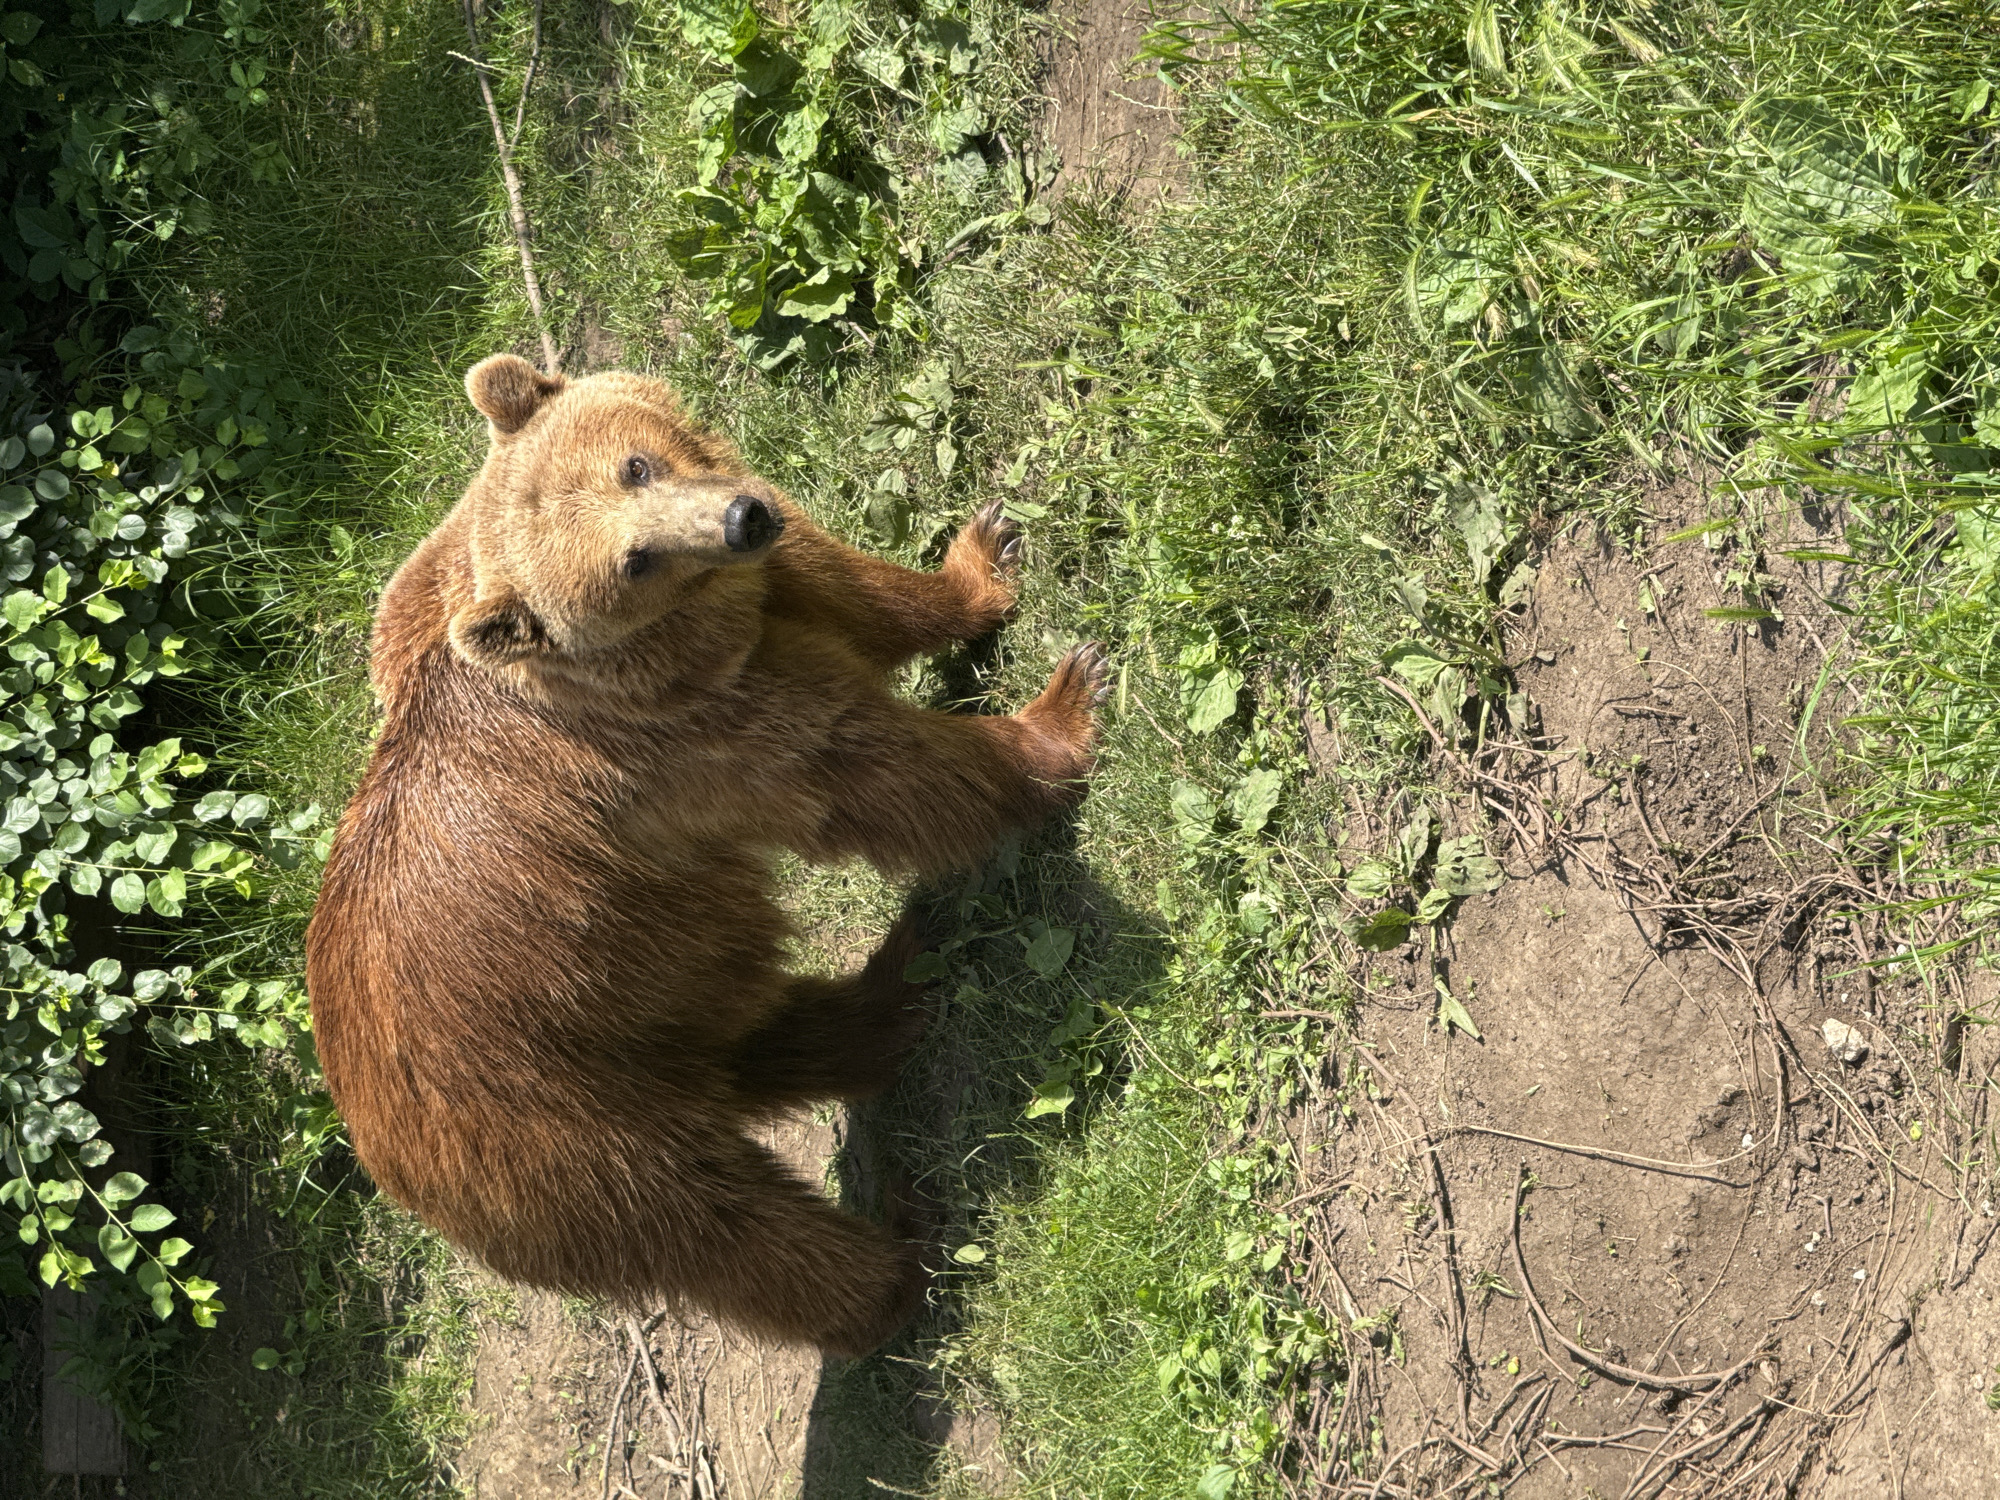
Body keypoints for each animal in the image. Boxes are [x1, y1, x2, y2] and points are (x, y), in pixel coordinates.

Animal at [303, 354, 1106, 1358]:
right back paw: (899, 1261)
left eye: (635, 465)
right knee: (722, 1225)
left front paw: (986, 551)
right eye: (632, 562)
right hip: (542, 1129)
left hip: (639, 1004)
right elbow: (868, 765)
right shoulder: (687, 739)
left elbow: (863, 594)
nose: (740, 518)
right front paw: (1065, 708)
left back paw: (896, 991)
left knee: (751, 1036)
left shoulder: (760, 604)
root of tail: (376, 1146)